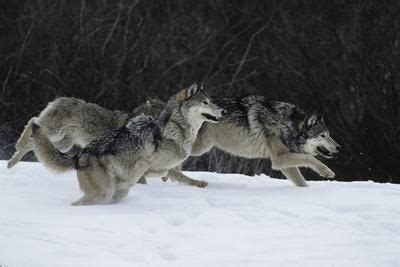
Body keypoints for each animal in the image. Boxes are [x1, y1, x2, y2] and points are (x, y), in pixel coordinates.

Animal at [31, 84, 225, 205]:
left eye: (211, 101)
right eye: (205, 102)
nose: (223, 110)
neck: (176, 128)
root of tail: (79, 156)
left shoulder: (163, 168)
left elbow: (177, 175)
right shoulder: (151, 164)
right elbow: (168, 173)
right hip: (102, 192)